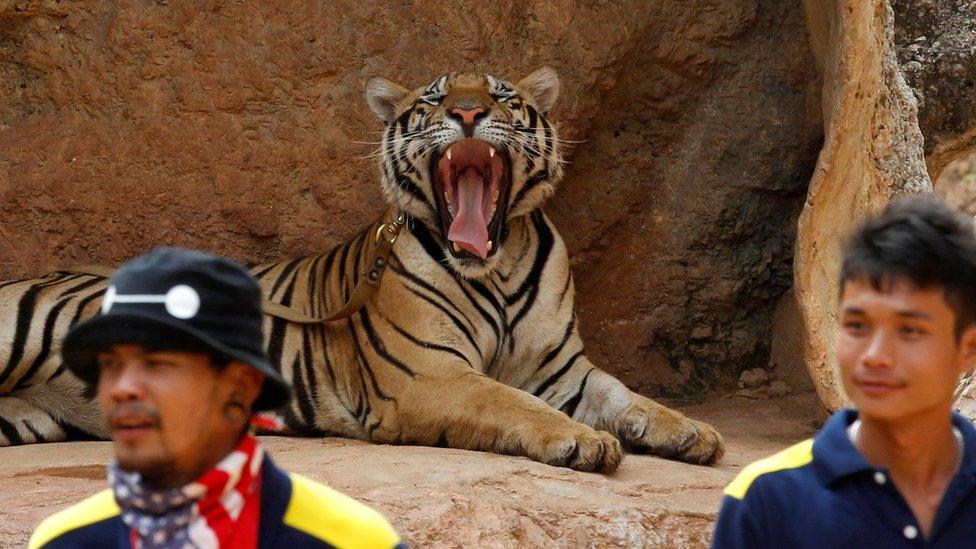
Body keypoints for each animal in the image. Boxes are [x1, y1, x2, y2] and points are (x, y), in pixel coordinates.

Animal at [1, 66, 724, 470]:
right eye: (432, 101)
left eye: (500, 96)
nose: (467, 112)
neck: (496, 266)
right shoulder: (430, 375)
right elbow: (509, 400)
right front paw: (582, 441)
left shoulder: (563, 369)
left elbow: (627, 397)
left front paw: (695, 433)